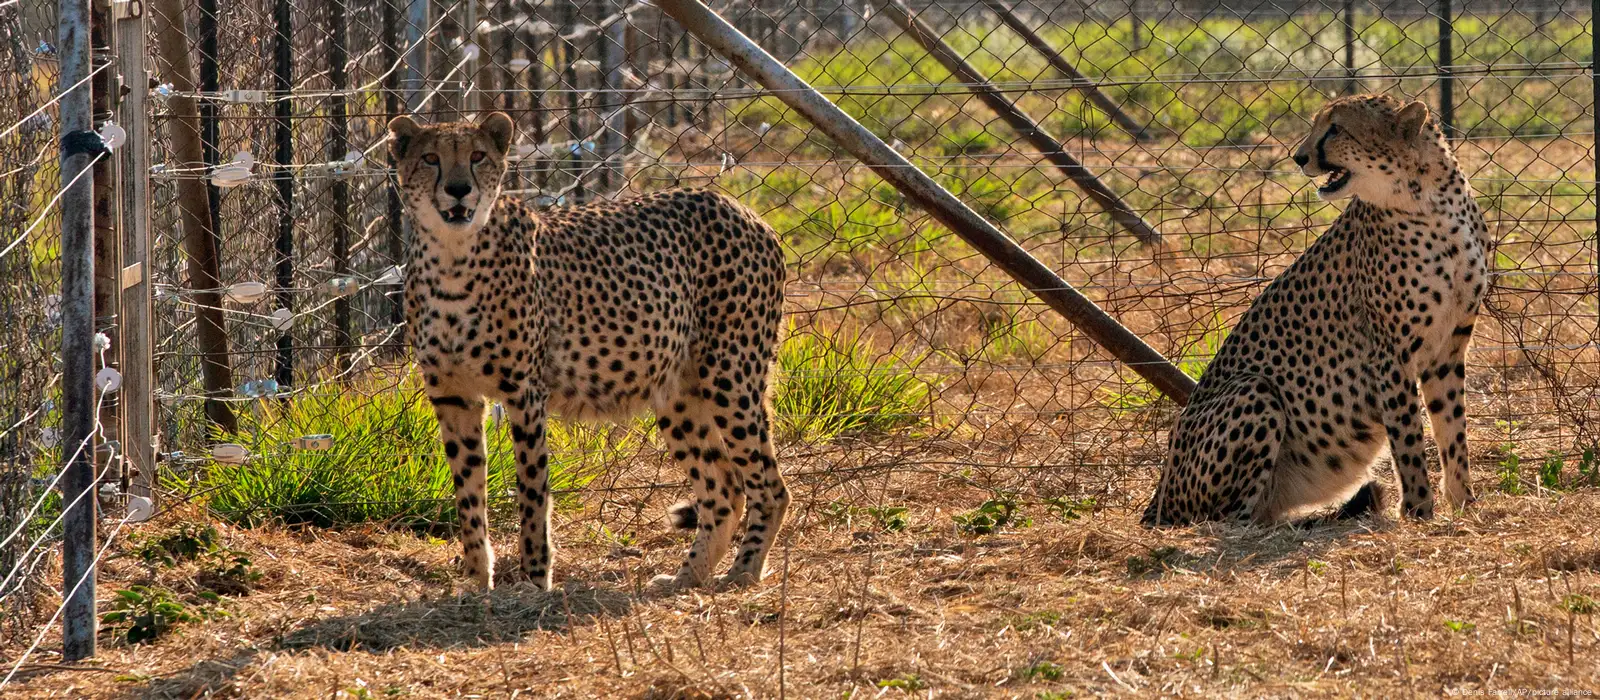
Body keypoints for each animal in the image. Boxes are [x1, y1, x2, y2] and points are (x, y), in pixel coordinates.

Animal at [387, 111, 787, 588]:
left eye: (477, 156)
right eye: (430, 158)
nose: (459, 188)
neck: (452, 257)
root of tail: (738, 207)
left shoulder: (525, 392)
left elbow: (532, 491)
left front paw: (534, 579)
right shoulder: (453, 396)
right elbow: (468, 493)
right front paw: (476, 581)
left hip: (730, 376)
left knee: (769, 486)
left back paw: (744, 572)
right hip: (678, 393)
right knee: (724, 486)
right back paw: (687, 577)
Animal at [1145, 95, 1491, 527]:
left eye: (1336, 128)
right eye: (1317, 125)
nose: (1299, 157)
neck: (1431, 202)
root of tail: (1157, 497)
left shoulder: (1447, 348)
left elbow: (1452, 429)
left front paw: (1464, 504)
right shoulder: (1390, 354)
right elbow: (1408, 438)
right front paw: (1418, 511)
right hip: (1254, 389)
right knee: (1231, 517)